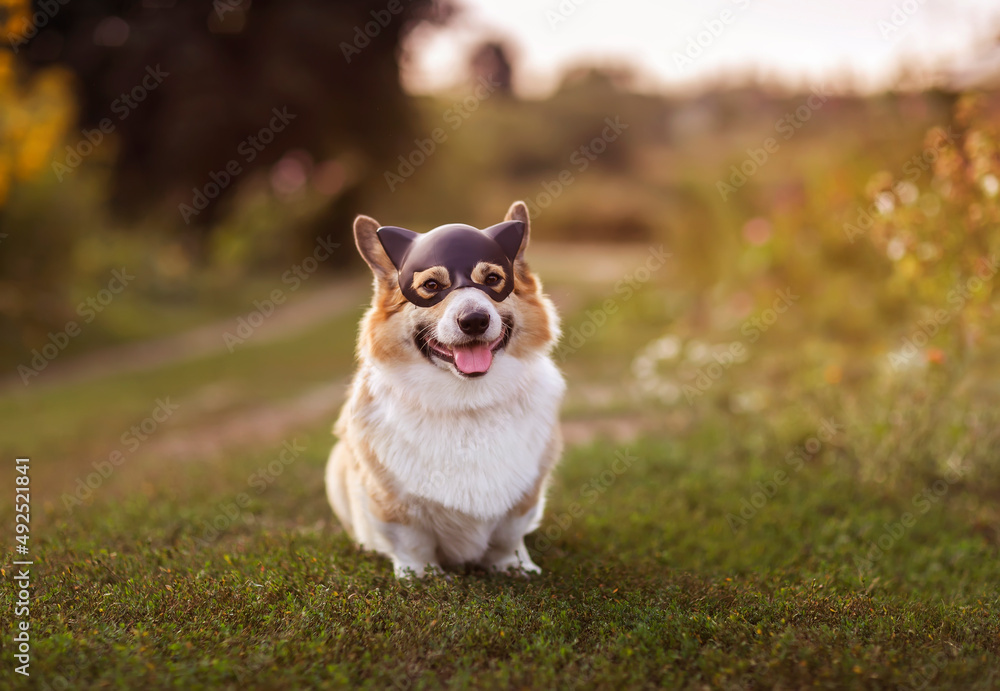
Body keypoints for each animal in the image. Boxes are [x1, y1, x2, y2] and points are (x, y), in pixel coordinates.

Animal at [326, 201, 568, 580]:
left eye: (493, 280)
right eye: (430, 285)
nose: (474, 320)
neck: (467, 401)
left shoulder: (525, 496)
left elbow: (508, 537)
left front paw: (515, 567)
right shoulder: (392, 503)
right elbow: (412, 543)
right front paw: (421, 577)